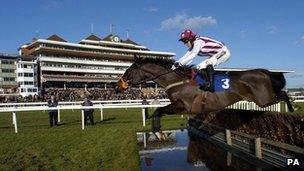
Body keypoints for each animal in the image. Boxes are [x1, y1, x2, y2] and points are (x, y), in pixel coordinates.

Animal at [117, 56, 294, 140]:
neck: (178, 80)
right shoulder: (182, 107)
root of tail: (264, 71)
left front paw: (159, 133)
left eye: (130, 69)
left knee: (283, 95)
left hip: (264, 100)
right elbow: (159, 111)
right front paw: (160, 133)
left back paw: (292, 109)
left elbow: (158, 111)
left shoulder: (186, 106)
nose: (119, 84)